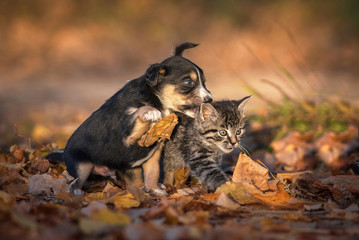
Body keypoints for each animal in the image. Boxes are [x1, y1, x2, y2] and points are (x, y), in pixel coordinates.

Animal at [47, 42, 211, 194]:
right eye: (188, 82)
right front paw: (150, 112)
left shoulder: (155, 152)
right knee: (76, 180)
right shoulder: (128, 137)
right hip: (81, 166)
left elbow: (153, 173)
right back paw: (76, 192)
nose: (209, 99)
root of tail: (64, 155)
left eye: (204, 82)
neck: (157, 100)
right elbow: (138, 112)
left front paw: (155, 191)